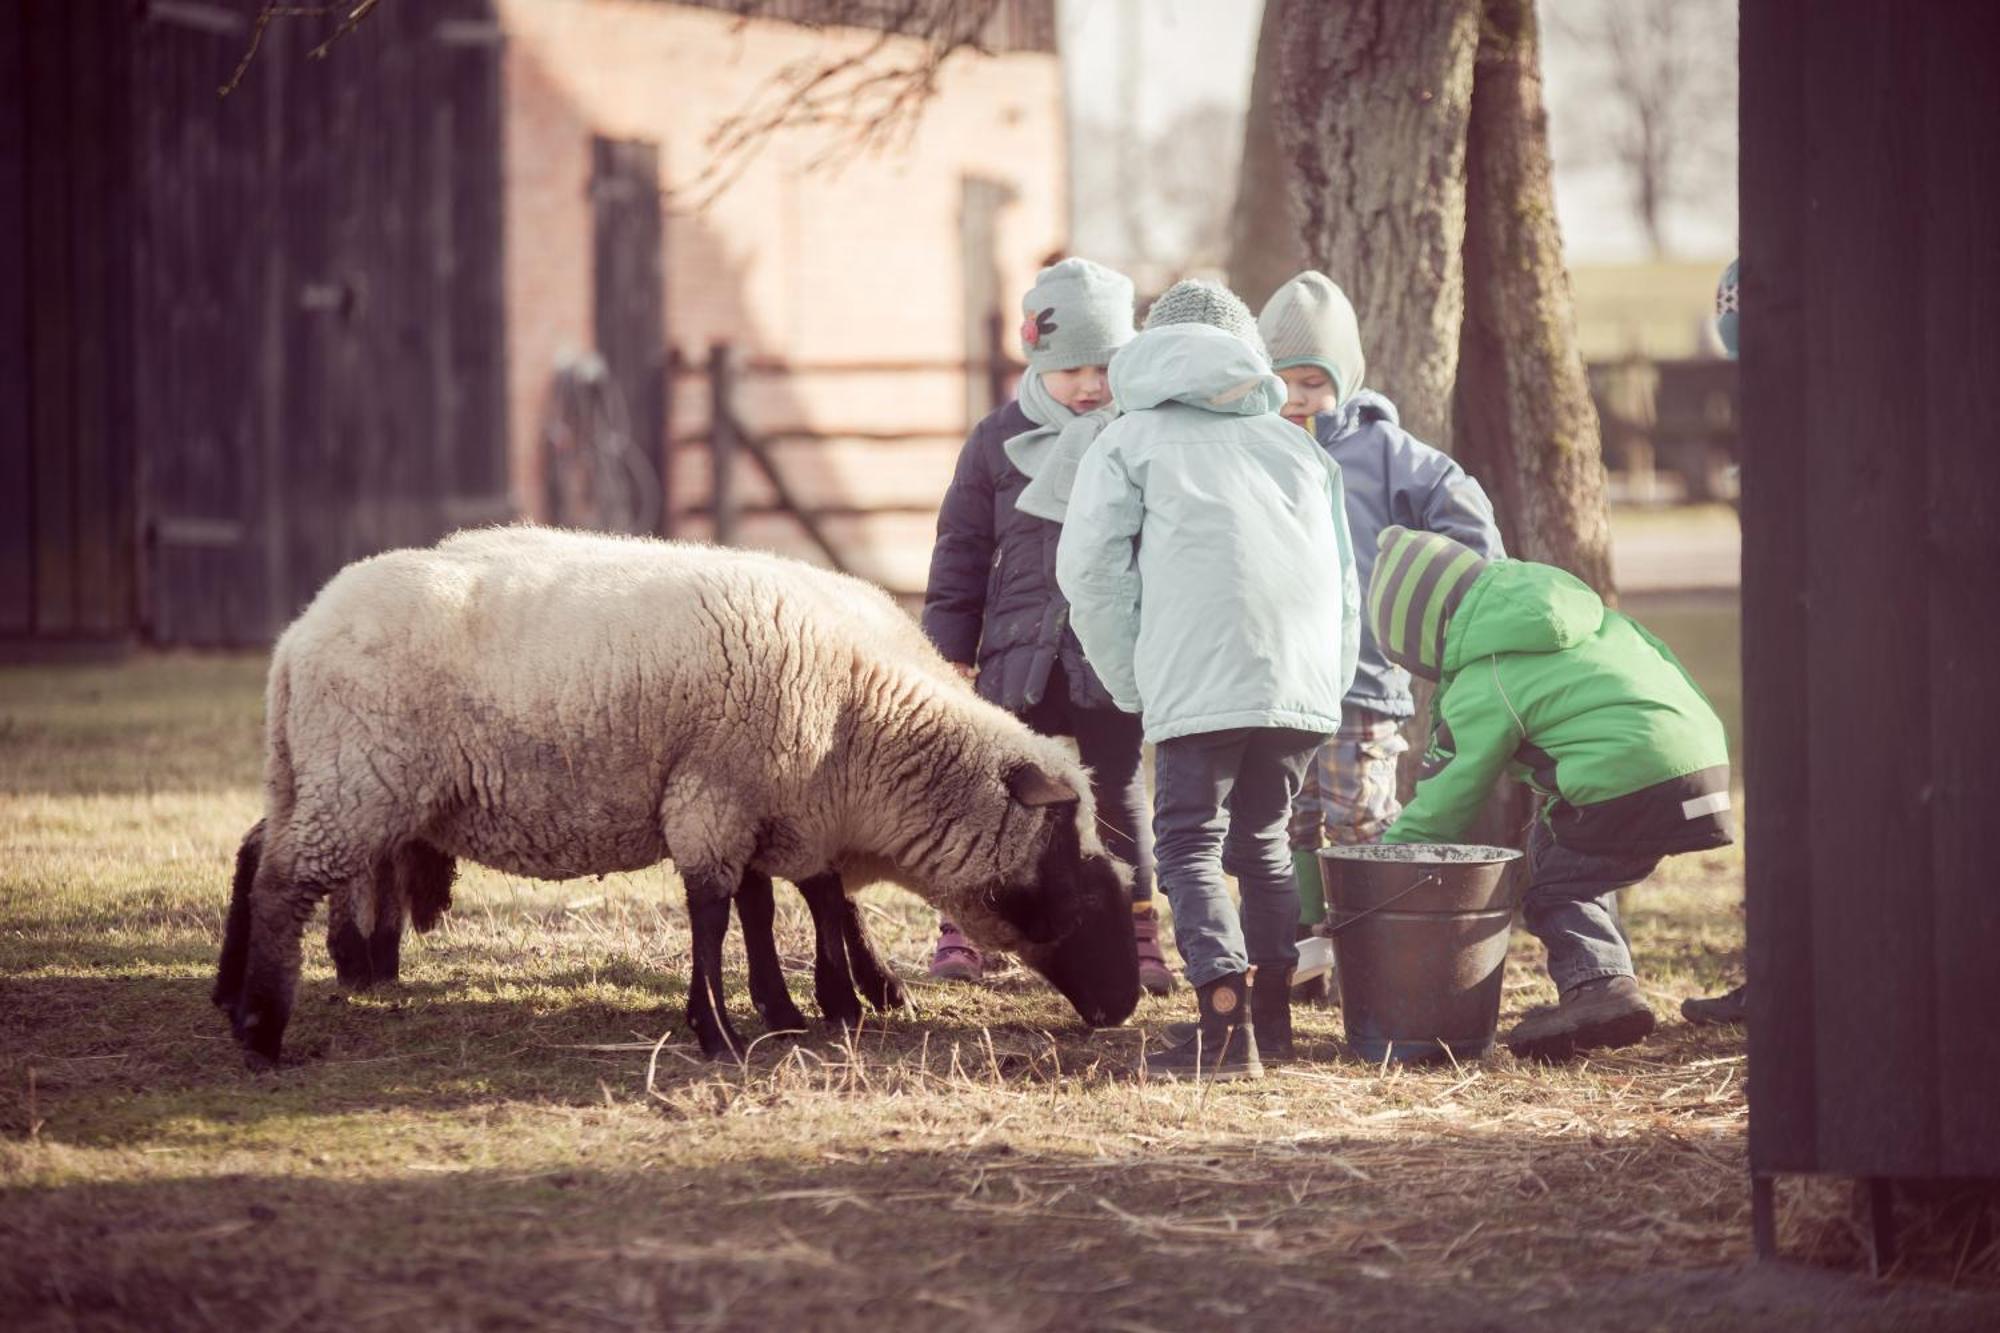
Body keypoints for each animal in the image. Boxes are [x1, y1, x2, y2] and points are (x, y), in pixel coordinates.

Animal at [217, 524, 1144, 1056]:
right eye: (1079, 883)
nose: (1124, 1005)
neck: (863, 723)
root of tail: (298, 637)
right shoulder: (719, 798)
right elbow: (717, 910)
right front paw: (727, 1029)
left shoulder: (772, 806)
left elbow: (779, 905)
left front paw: (804, 1004)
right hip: (359, 780)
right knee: (281, 881)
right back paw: (262, 1025)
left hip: (324, 776)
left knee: (258, 850)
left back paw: (236, 991)